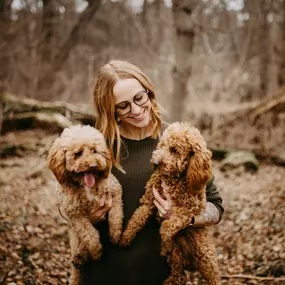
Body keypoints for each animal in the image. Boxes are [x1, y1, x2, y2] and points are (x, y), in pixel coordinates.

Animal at [47, 125, 122, 284]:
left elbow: (116, 216)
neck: (87, 187)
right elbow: (90, 235)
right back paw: (79, 257)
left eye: (95, 150)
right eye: (78, 153)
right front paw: (96, 251)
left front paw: (115, 234)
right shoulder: (75, 215)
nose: (93, 165)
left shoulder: (115, 191)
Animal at [120, 122, 220, 284]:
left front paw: (164, 243)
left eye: (174, 150)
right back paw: (171, 279)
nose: (155, 162)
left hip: (205, 254)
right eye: (162, 145)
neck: (173, 180)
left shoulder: (189, 210)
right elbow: (136, 219)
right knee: (179, 273)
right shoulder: (149, 201)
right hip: (176, 255)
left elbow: (167, 226)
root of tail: (190, 262)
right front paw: (124, 238)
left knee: (214, 277)